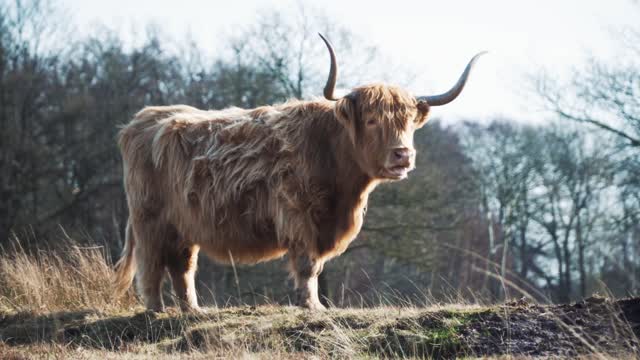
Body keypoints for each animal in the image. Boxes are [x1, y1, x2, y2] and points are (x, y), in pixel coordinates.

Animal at [114, 33, 484, 310]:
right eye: (371, 120)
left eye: (408, 122)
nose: (402, 155)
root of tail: (141, 120)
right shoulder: (298, 214)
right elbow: (308, 265)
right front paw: (313, 306)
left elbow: (316, 265)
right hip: (150, 220)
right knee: (151, 266)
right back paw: (156, 311)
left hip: (184, 224)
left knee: (182, 266)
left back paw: (192, 310)